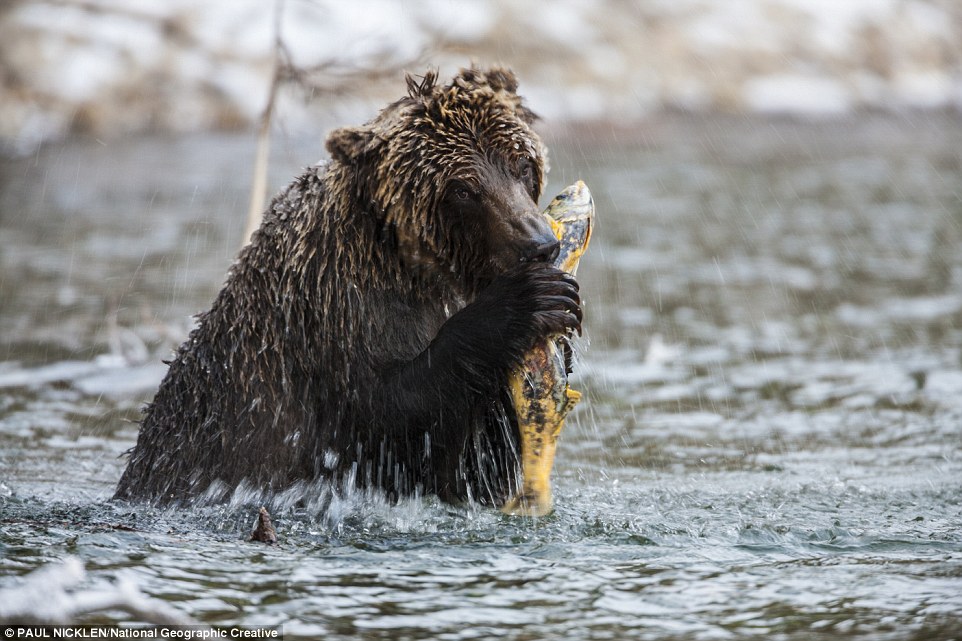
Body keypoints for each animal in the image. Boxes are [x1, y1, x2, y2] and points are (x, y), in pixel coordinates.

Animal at [112, 65, 576, 504]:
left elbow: (476, 466)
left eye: (522, 165)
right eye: (462, 189)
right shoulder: (332, 322)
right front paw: (529, 302)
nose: (539, 244)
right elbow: (391, 417)